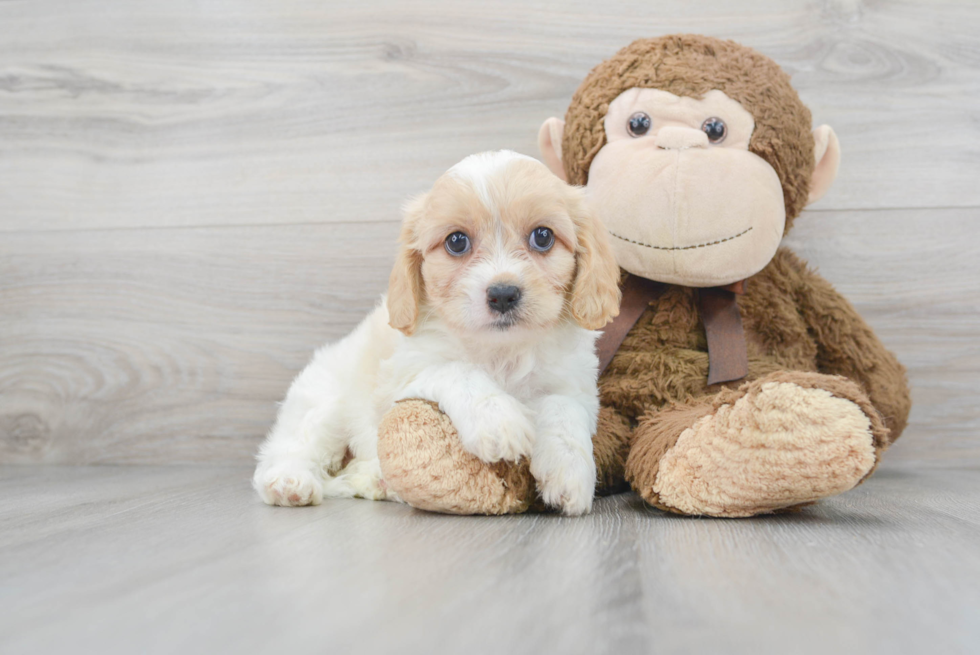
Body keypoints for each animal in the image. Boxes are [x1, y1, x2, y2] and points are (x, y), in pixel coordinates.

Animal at [253, 151, 620, 516]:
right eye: (456, 242)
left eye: (543, 237)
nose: (502, 294)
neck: (501, 350)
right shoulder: (405, 374)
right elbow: (458, 370)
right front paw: (497, 420)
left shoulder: (575, 385)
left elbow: (564, 407)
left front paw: (570, 471)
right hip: (324, 402)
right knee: (291, 447)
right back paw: (289, 483)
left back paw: (376, 480)